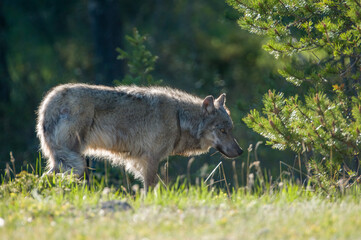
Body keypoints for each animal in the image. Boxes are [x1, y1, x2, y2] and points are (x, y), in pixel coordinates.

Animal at [36, 83, 242, 190]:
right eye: (222, 131)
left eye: (231, 130)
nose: (240, 151)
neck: (179, 119)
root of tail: (48, 102)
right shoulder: (151, 159)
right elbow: (149, 190)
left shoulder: (137, 162)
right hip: (75, 163)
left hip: (67, 162)